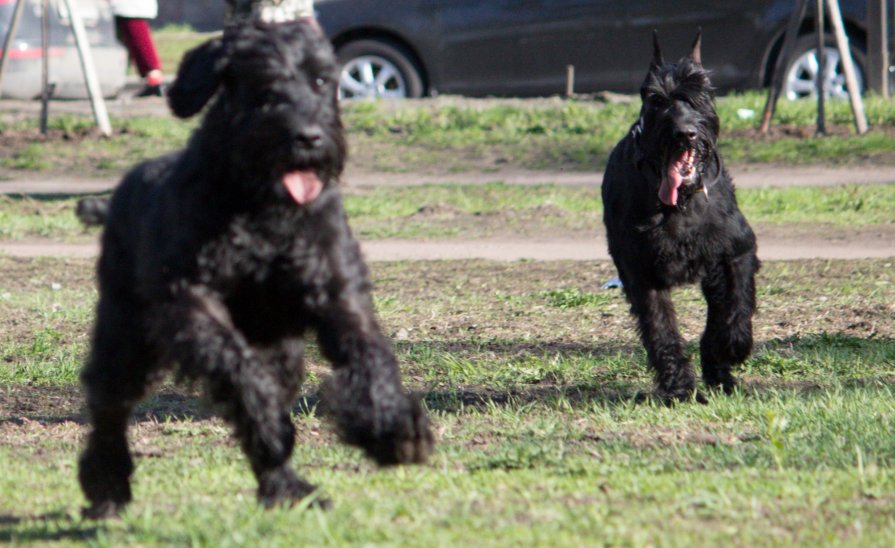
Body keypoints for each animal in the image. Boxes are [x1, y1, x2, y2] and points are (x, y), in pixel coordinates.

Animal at [75, 21, 432, 520]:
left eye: (321, 79)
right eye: (264, 86)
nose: (308, 137)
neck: (265, 209)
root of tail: (113, 199)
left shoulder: (338, 293)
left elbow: (369, 355)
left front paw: (393, 428)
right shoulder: (190, 304)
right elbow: (242, 375)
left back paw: (286, 487)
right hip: (127, 336)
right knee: (109, 403)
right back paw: (107, 486)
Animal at [604, 34, 760, 402]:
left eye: (700, 93)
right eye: (657, 100)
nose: (685, 133)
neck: (681, 204)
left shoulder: (736, 250)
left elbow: (736, 304)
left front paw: (732, 345)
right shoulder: (641, 275)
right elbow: (661, 331)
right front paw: (678, 387)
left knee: (719, 311)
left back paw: (720, 369)